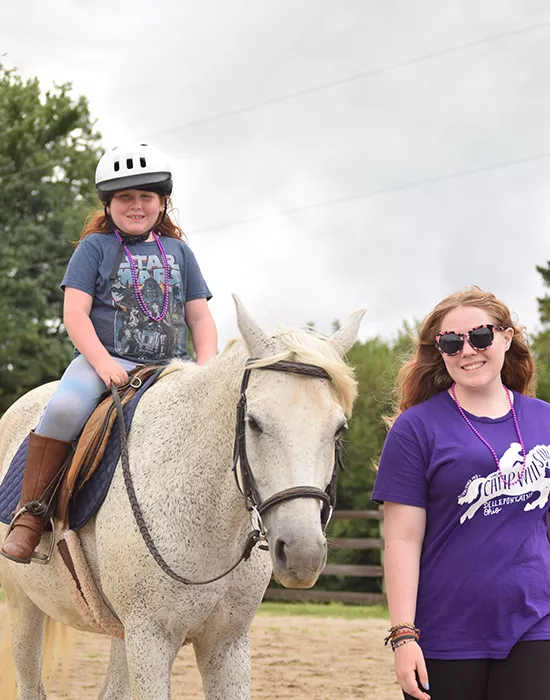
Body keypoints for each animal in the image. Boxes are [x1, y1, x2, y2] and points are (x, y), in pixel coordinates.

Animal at [0, 300, 364, 700]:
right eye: (253, 422)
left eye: (339, 428)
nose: (302, 555)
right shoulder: (151, 640)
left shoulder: (227, 645)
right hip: (24, 607)